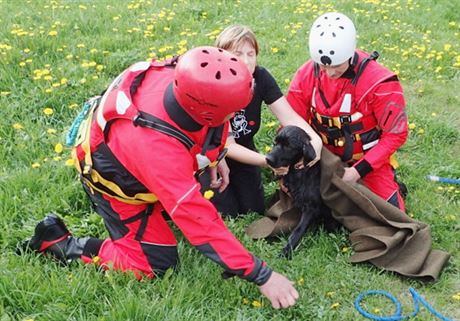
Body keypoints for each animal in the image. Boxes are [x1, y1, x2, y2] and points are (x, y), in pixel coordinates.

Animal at [264, 125, 336, 258]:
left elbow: (298, 230)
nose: (267, 159)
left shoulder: (310, 208)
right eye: (275, 142)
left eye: (288, 146)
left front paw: (286, 251)